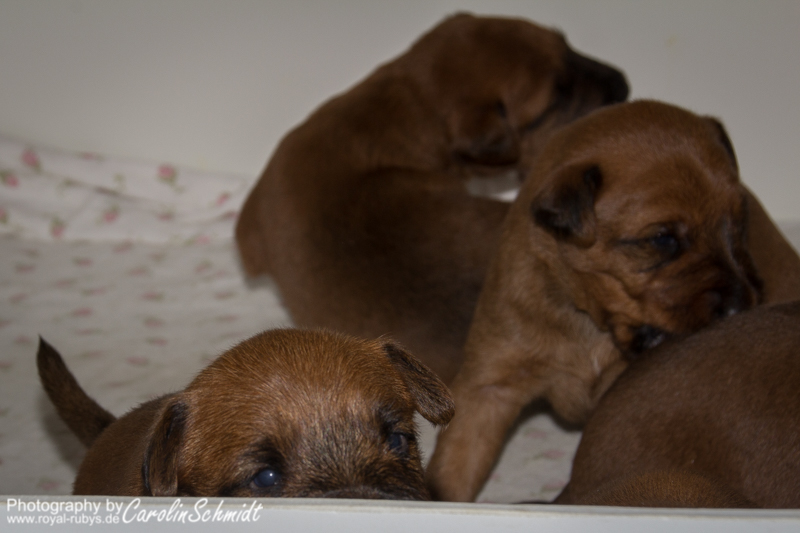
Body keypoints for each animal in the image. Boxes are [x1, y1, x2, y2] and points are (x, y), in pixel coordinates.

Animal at [426, 100, 767, 502]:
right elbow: (454, 467)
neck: (588, 322)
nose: (740, 306)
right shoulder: (490, 386)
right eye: (663, 239)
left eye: (739, 223)